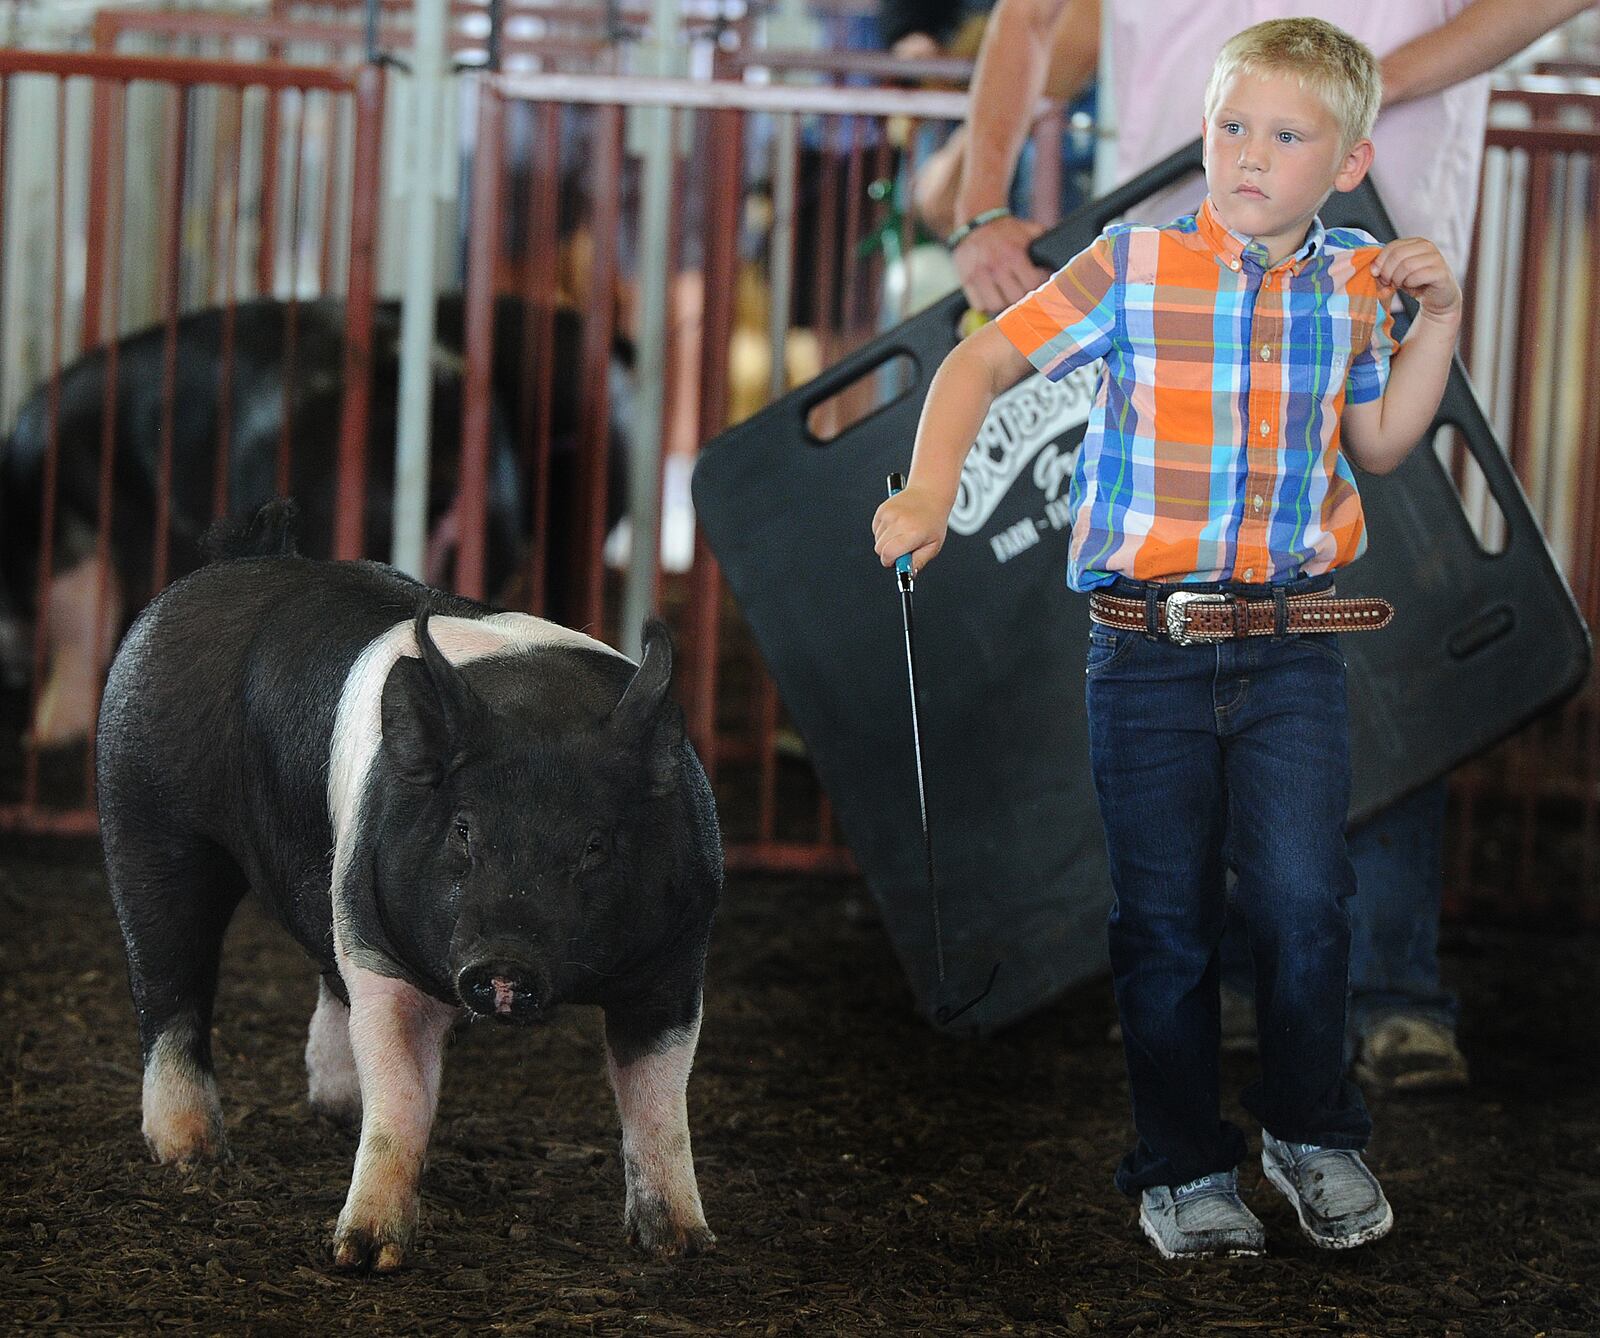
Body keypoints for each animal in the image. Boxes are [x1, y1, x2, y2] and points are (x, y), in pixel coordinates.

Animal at [96, 496, 723, 1267]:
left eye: (596, 845)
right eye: (463, 830)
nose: (503, 965)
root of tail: (232, 561)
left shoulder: (678, 955)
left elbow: (659, 1099)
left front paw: (684, 1244)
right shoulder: (381, 951)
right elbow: (400, 1096)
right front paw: (362, 1254)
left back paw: (334, 1111)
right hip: (142, 814)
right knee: (168, 983)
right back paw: (195, 1155)